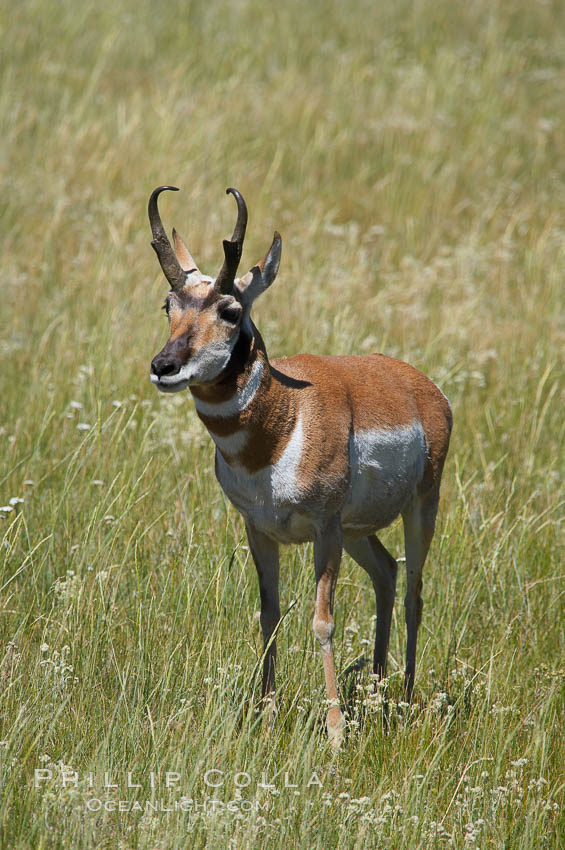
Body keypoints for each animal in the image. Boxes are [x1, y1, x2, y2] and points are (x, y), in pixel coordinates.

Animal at [148, 186, 452, 744]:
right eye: (168, 304)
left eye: (229, 310)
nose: (164, 367)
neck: (284, 422)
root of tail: (420, 385)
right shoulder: (260, 529)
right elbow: (269, 615)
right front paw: (266, 716)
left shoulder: (323, 528)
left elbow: (322, 621)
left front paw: (334, 730)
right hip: (358, 531)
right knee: (386, 573)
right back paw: (377, 689)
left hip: (419, 508)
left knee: (414, 592)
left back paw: (402, 695)